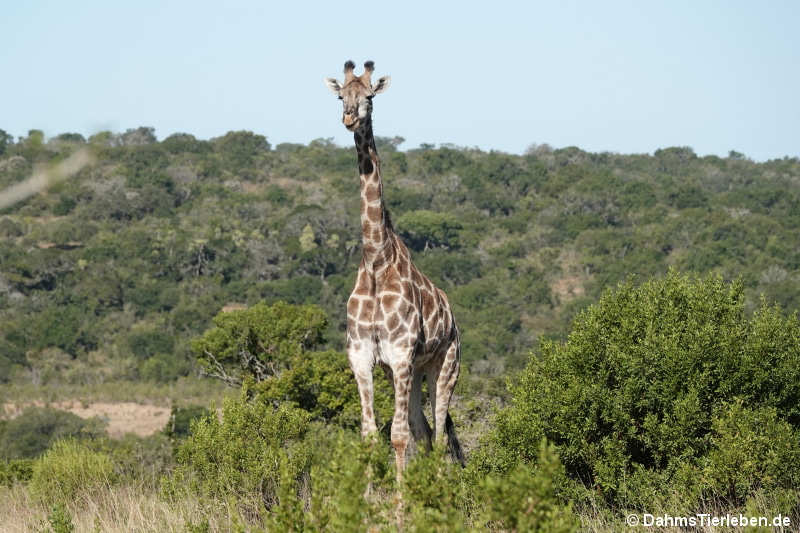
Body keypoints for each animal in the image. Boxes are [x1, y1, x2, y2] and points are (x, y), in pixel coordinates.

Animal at [324, 60, 464, 482]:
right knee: (426, 431)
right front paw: (370, 498)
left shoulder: (401, 354)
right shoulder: (363, 356)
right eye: (341, 95)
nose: (349, 118)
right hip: (410, 372)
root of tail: (454, 319)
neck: (375, 260)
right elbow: (371, 435)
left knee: (438, 433)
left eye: (369, 96)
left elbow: (398, 435)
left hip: (443, 365)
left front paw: (401, 501)